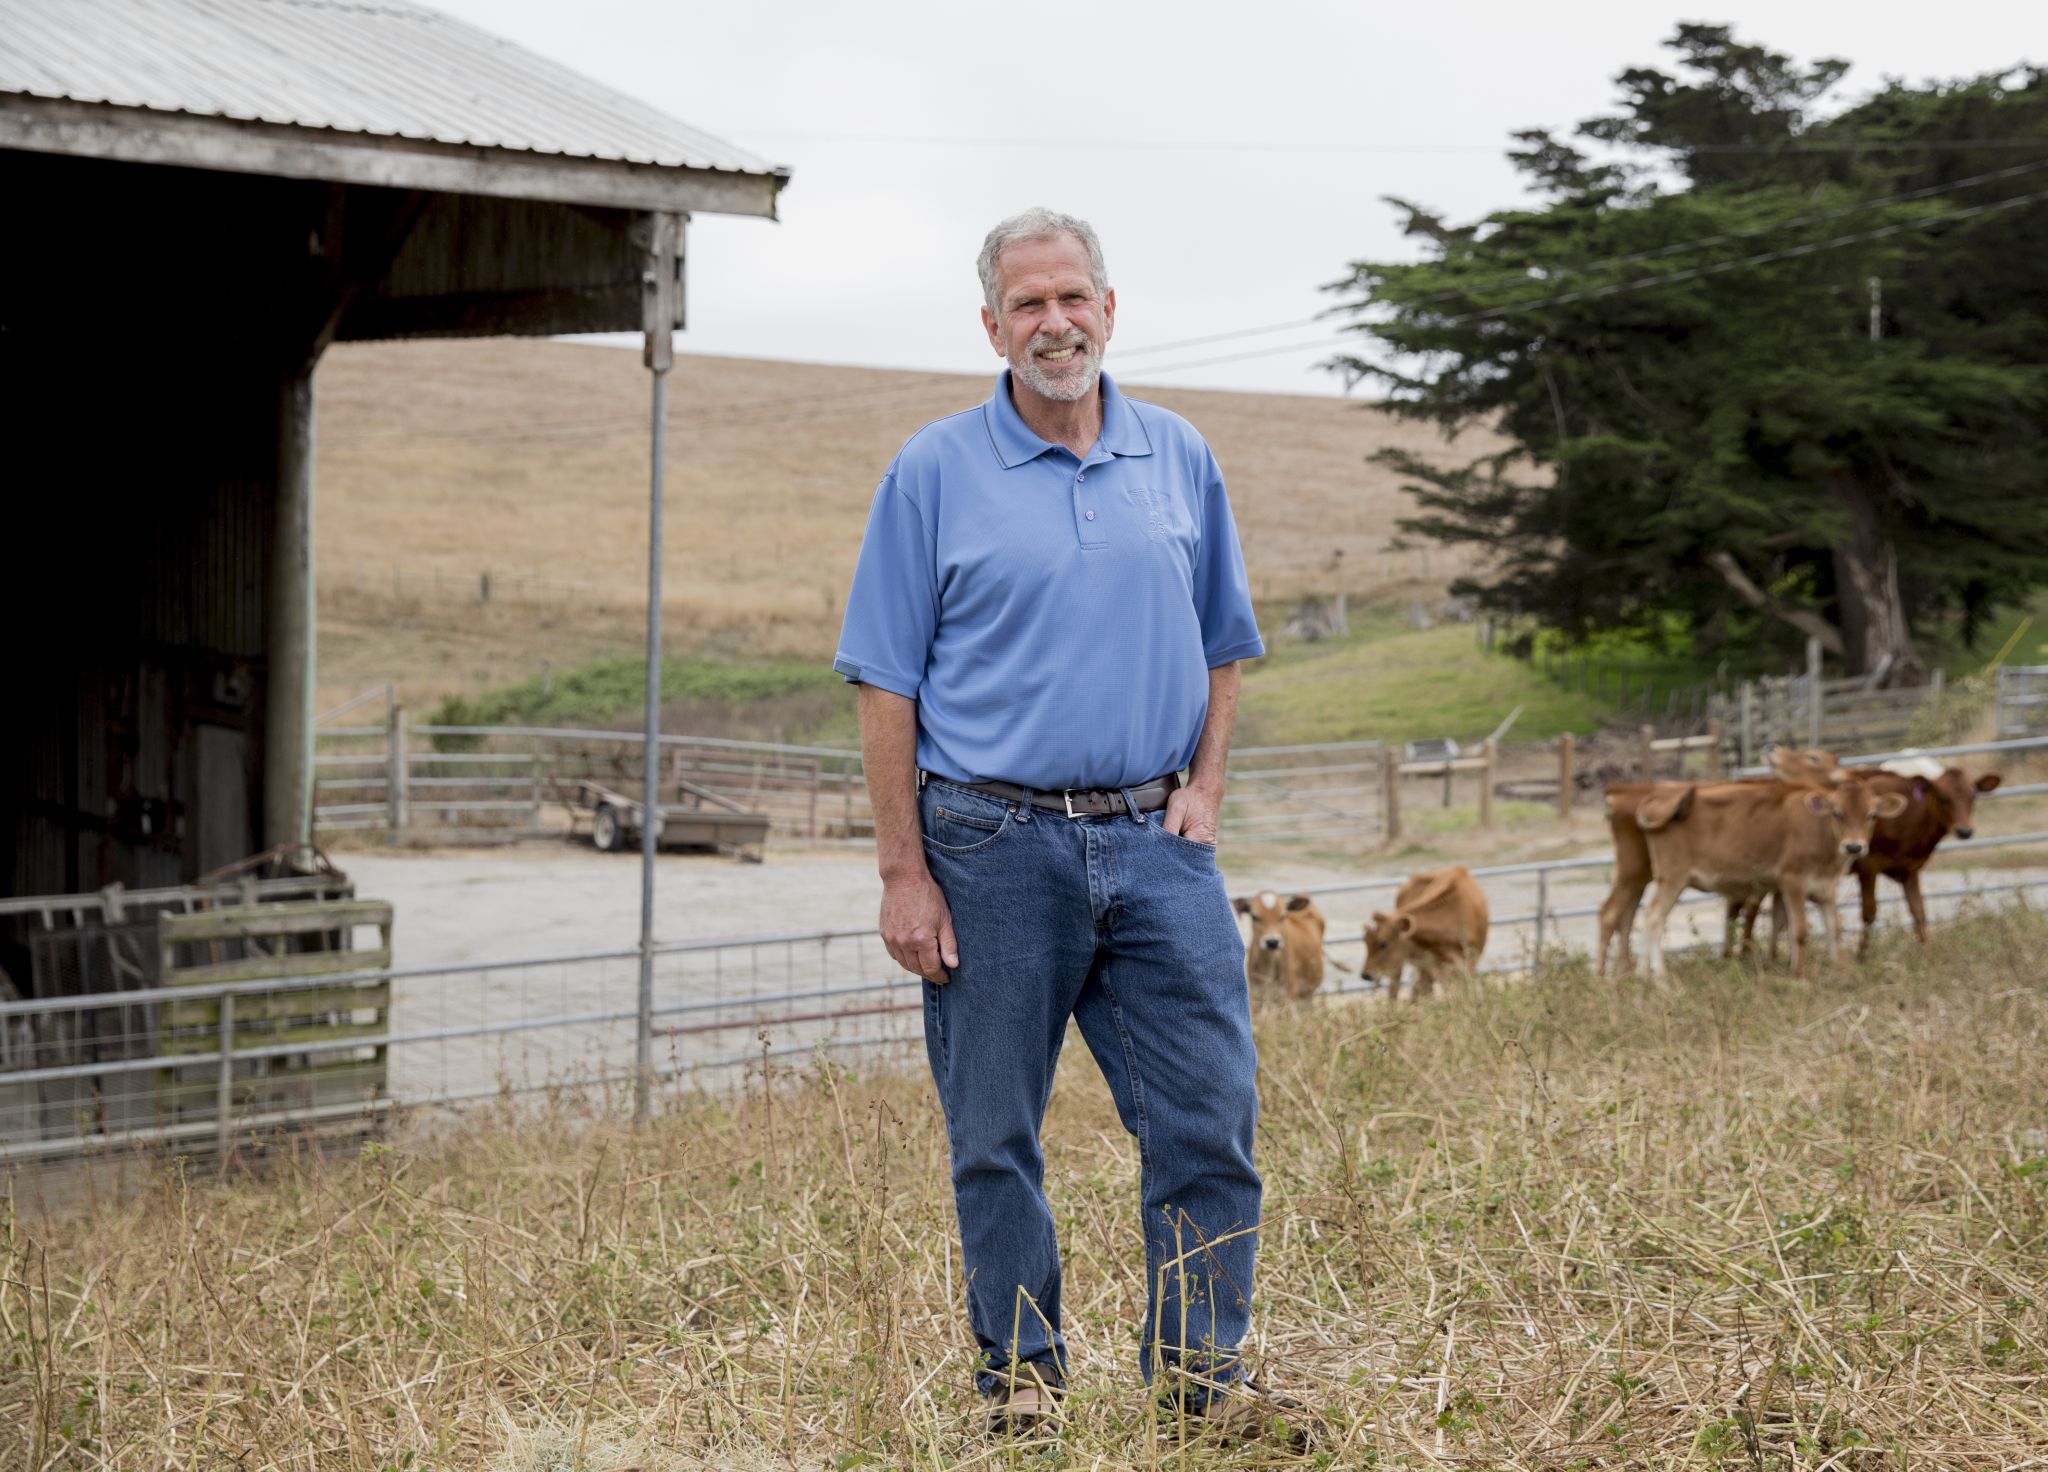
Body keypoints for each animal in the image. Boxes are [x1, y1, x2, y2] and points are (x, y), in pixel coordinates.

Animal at [1359, 863, 1490, 1003]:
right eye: (1365, 941)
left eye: (1383, 943)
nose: (1366, 974)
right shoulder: (1432, 968)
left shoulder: (1467, 965)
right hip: (1401, 964)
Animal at [1597, 749, 1859, 978]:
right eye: (1812, 757)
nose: (1772, 749)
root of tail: (1619, 790)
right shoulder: (1771, 883)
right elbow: (1756, 917)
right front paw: (1751, 959)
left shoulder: (1771, 886)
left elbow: (1769, 919)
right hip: (1637, 873)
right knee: (1613, 914)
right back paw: (1608, 975)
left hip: (1640, 877)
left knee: (1627, 916)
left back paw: (1628, 971)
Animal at [1630, 782, 1900, 978]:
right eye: (1837, 813)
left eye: (1872, 815)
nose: (1854, 846)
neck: (1819, 832)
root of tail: (1661, 798)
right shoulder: (1793, 882)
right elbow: (1799, 931)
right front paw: (1800, 976)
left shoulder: (1825, 888)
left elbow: (1833, 929)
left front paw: (1841, 971)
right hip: (1673, 878)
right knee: (1654, 918)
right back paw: (1661, 979)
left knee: (1648, 917)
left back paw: (1643, 975)